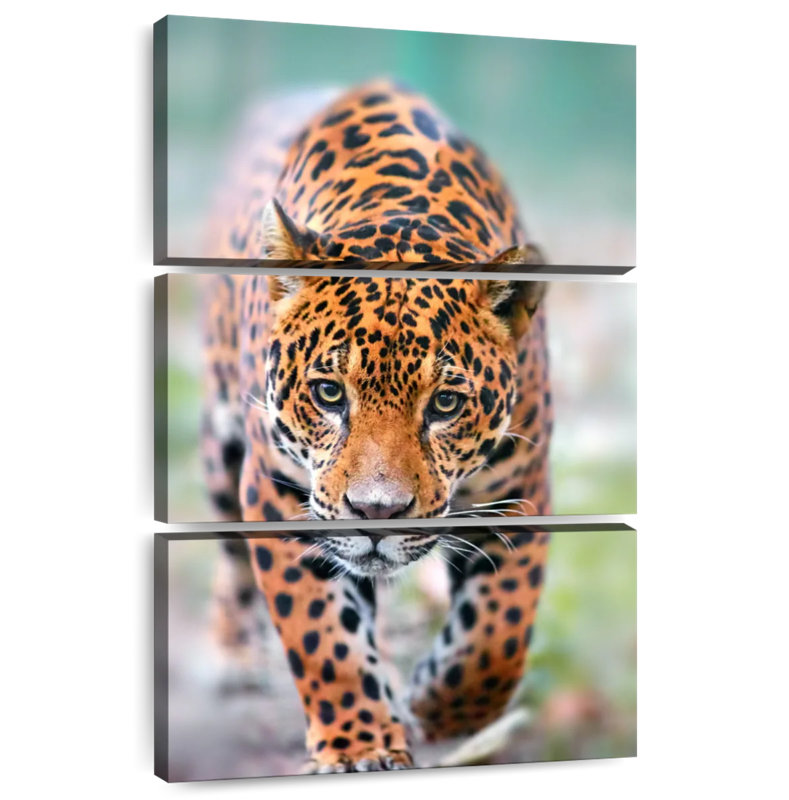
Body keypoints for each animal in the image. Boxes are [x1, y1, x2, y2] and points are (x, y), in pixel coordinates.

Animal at [200, 80, 553, 773]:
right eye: (330, 393)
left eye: (445, 404)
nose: (377, 515)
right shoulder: (278, 494)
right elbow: (320, 635)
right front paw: (360, 745)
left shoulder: (522, 489)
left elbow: (497, 635)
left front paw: (437, 709)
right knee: (228, 550)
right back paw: (230, 652)